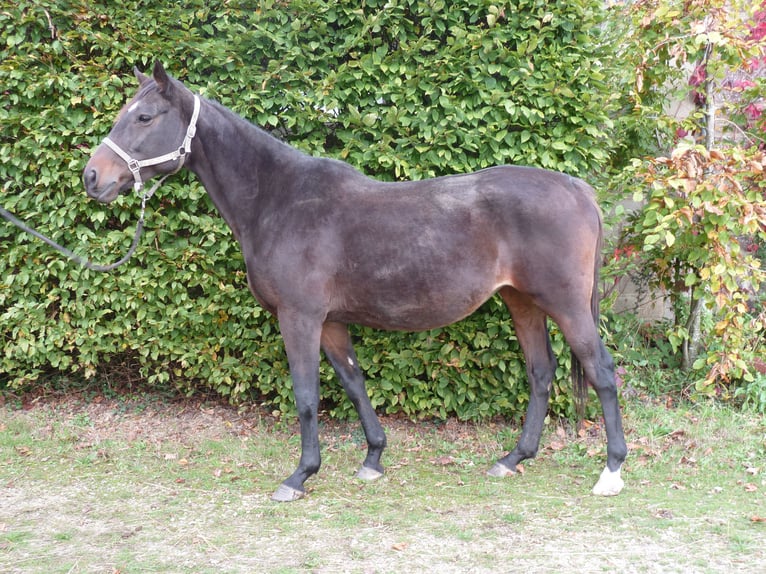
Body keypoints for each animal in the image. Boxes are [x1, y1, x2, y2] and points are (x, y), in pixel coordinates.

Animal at [82, 64, 632, 504]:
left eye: (144, 117)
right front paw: (373, 458)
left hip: (566, 304)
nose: (92, 177)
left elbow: (306, 395)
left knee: (601, 370)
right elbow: (353, 382)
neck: (278, 200)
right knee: (541, 372)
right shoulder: (329, 322)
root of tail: (578, 189)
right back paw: (513, 458)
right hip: (522, 302)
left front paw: (299, 476)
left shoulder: (300, 318)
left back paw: (610, 471)